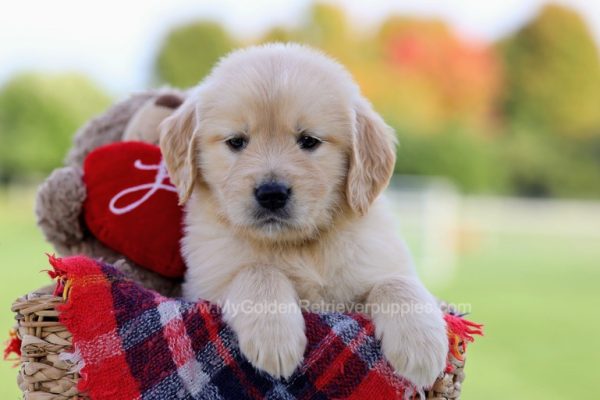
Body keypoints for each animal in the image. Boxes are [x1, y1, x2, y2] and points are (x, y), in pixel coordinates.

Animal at [162, 43, 448, 388]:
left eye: (309, 141)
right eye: (236, 141)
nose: (271, 193)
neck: (299, 245)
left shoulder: (374, 261)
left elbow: (397, 282)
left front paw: (421, 344)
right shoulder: (205, 283)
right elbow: (257, 270)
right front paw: (275, 336)